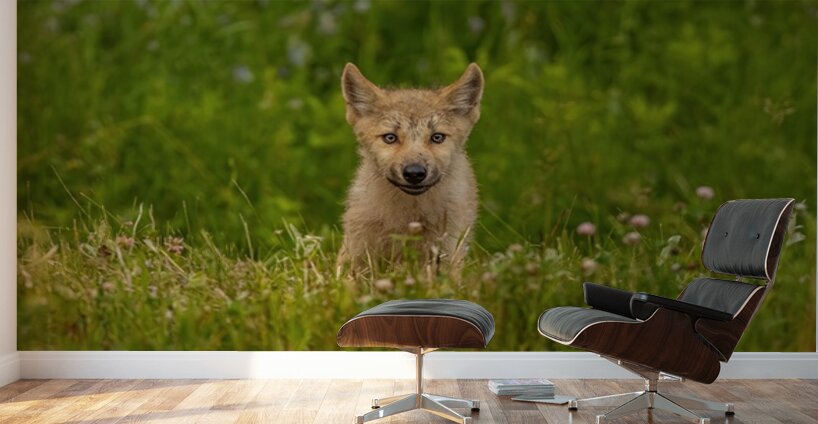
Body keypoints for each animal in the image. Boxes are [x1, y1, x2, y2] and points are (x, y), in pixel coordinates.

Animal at [338, 63, 484, 271]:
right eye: (390, 138)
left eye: (437, 137)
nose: (415, 173)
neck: (408, 217)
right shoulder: (356, 249)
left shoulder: (446, 252)